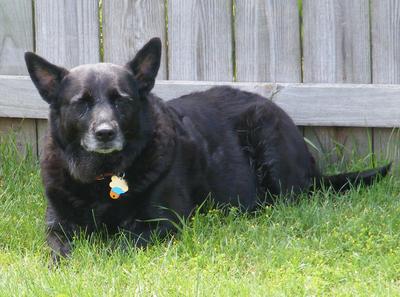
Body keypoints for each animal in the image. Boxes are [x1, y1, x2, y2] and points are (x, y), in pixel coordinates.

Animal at [24, 37, 388, 262]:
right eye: (82, 103)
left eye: (121, 100)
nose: (104, 133)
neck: (102, 178)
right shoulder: (57, 226)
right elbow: (58, 251)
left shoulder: (161, 223)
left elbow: (117, 245)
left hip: (268, 142)